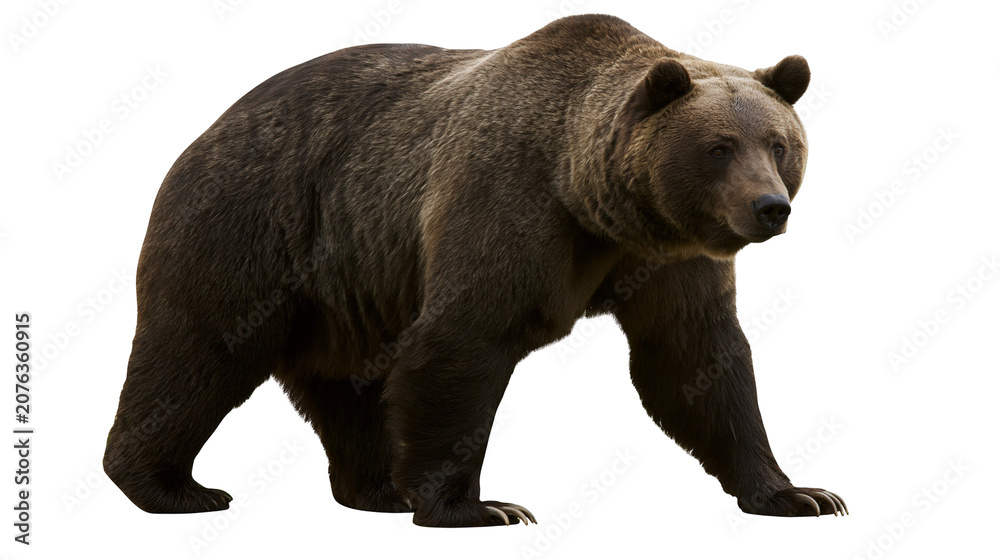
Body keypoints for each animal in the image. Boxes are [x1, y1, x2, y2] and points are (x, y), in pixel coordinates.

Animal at [104, 14, 847, 526]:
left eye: (779, 144)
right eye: (718, 146)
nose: (769, 208)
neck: (599, 206)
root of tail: (206, 129)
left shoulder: (670, 257)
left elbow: (696, 360)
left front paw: (799, 493)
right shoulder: (507, 202)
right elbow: (463, 341)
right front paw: (477, 508)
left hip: (346, 284)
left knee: (347, 386)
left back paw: (376, 488)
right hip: (253, 223)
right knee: (199, 351)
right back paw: (174, 488)